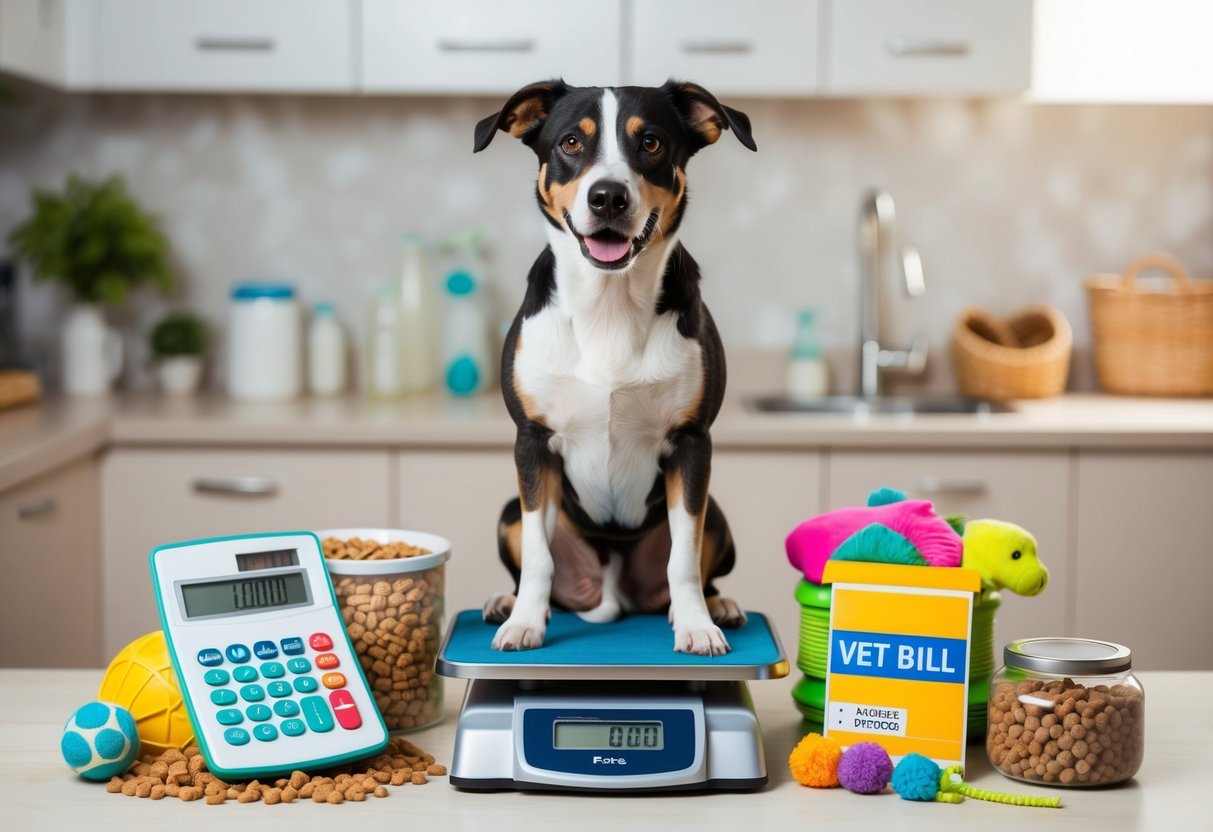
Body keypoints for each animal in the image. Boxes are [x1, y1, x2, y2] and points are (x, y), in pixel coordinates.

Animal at [475, 80, 752, 659]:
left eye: (650, 142)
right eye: (570, 143)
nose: (607, 197)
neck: (609, 304)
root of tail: (611, 590)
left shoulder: (692, 444)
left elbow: (683, 560)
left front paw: (696, 625)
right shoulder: (532, 442)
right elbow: (538, 556)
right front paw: (525, 622)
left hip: (717, 515)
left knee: (702, 567)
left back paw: (720, 606)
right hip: (509, 511)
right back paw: (506, 602)